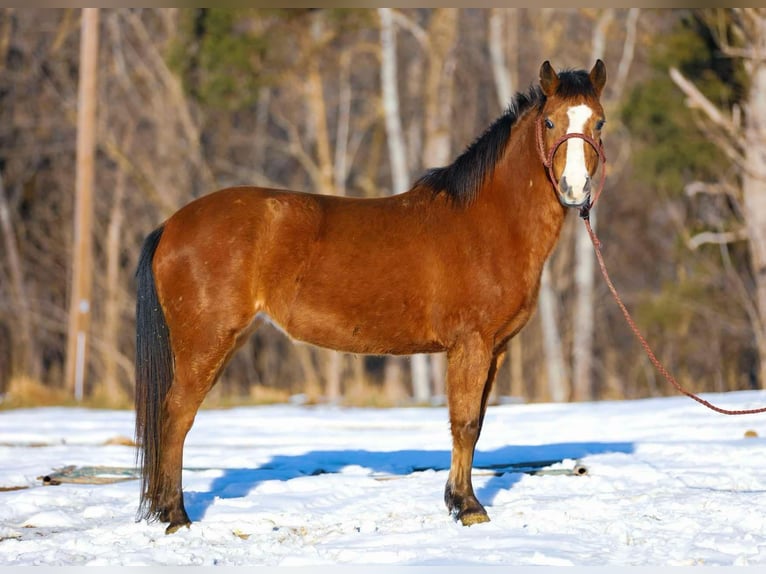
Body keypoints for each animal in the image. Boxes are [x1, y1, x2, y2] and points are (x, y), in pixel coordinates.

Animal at [134, 60, 607, 534]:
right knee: (176, 416)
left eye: (599, 122)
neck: (486, 223)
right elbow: (465, 423)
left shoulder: (496, 349)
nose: (575, 189)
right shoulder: (470, 344)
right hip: (206, 342)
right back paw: (175, 515)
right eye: (550, 122)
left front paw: (459, 501)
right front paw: (469, 508)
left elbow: (477, 424)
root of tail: (172, 226)